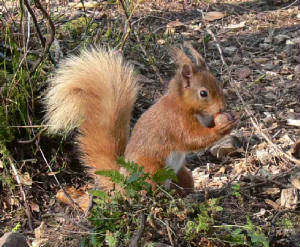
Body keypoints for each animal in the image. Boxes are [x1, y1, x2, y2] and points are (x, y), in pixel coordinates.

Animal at [44, 43, 237, 195]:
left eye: (218, 83)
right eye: (203, 93)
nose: (222, 107)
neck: (184, 105)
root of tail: (123, 182)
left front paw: (232, 118)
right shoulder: (176, 122)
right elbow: (193, 139)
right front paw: (221, 128)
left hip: (181, 174)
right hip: (151, 170)